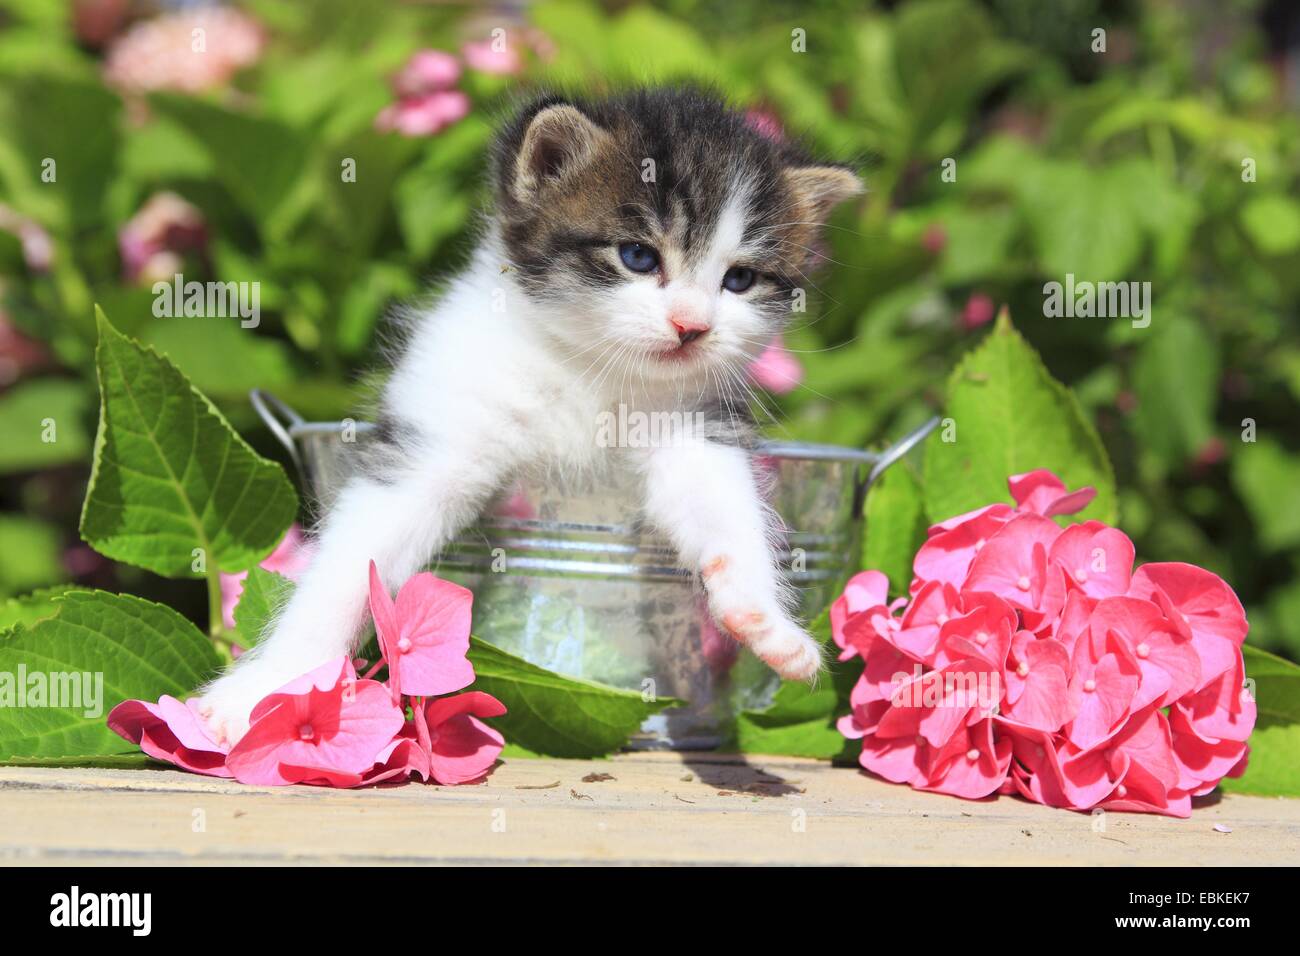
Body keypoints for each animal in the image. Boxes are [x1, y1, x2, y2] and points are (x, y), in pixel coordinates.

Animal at [197, 89, 863, 743]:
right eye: (638, 256)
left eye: (740, 278)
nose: (692, 327)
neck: (588, 368)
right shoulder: (445, 417)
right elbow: (351, 564)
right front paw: (270, 687)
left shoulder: (696, 425)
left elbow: (721, 506)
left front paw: (763, 618)